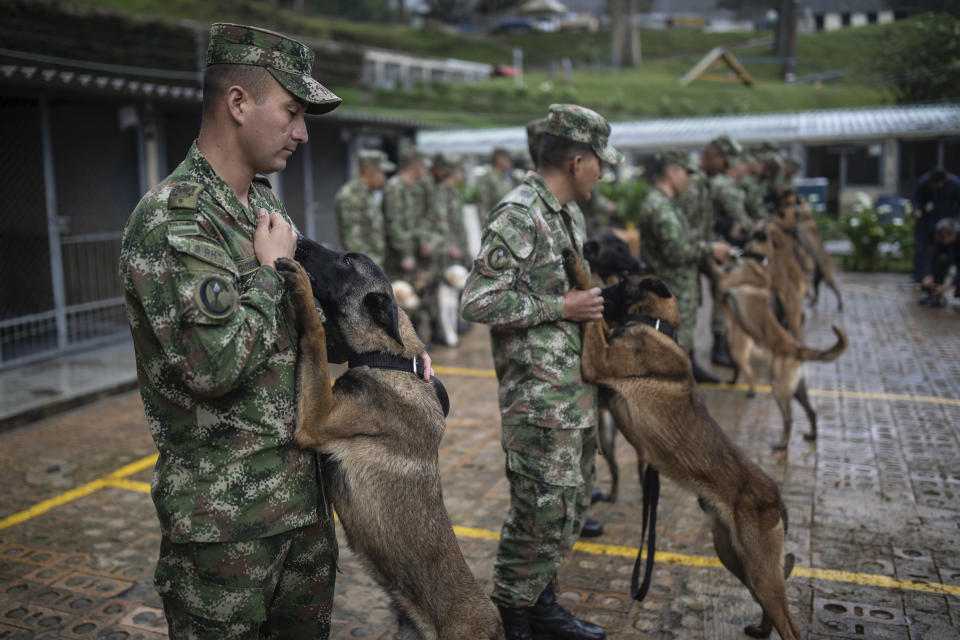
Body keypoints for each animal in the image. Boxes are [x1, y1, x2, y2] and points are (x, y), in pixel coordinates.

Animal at [276, 236, 506, 640]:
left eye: (346, 260)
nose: (300, 239)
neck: (391, 359)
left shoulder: (316, 419)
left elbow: (316, 338)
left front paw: (301, 285)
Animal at [564, 249, 804, 640]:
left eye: (620, 282)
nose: (602, 287)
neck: (657, 325)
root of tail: (777, 497)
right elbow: (601, 325)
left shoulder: (598, 361)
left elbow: (597, 322)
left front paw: (578, 273)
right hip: (734, 557)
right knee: (770, 604)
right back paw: (760, 628)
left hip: (757, 567)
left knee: (788, 621)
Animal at [712, 231, 848, 450]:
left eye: (748, 235)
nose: (732, 242)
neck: (761, 261)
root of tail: (797, 348)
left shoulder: (724, 282)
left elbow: (714, 269)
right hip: (798, 390)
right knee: (812, 412)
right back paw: (811, 435)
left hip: (779, 388)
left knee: (788, 418)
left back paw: (782, 444)